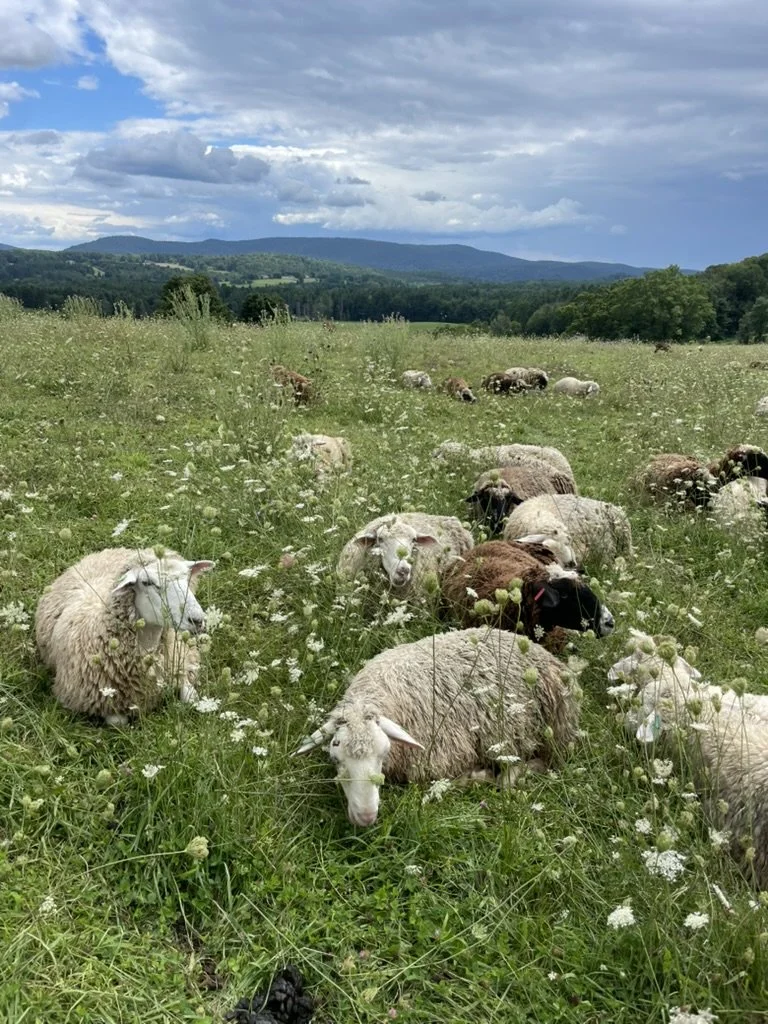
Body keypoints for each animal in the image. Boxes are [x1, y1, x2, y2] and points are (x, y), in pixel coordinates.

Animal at [34, 547, 214, 726]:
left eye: (188, 577)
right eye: (147, 582)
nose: (197, 620)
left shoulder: (181, 662)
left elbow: (191, 697)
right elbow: (118, 721)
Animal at [293, 626, 581, 825]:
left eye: (383, 756)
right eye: (336, 759)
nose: (366, 817)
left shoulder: (442, 758)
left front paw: (479, 776)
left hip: (545, 732)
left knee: (538, 767)